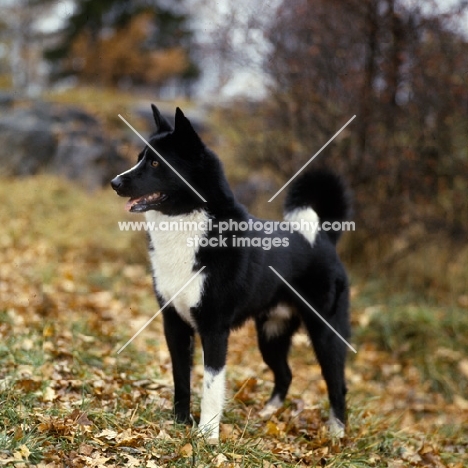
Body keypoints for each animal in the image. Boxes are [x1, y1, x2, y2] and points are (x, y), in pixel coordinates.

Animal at [110, 107, 352, 442]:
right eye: (140, 158)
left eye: (157, 163)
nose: (114, 182)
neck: (189, 223)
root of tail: (325, 237)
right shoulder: (174, 324)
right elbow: (181, 380)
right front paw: (180, 424)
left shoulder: (214, 329)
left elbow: (211, 387)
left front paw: (207, 435)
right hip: (271, 333)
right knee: (286, 374)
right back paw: (267, 414)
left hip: (325, 333)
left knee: (337, 384)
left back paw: (336, 434)